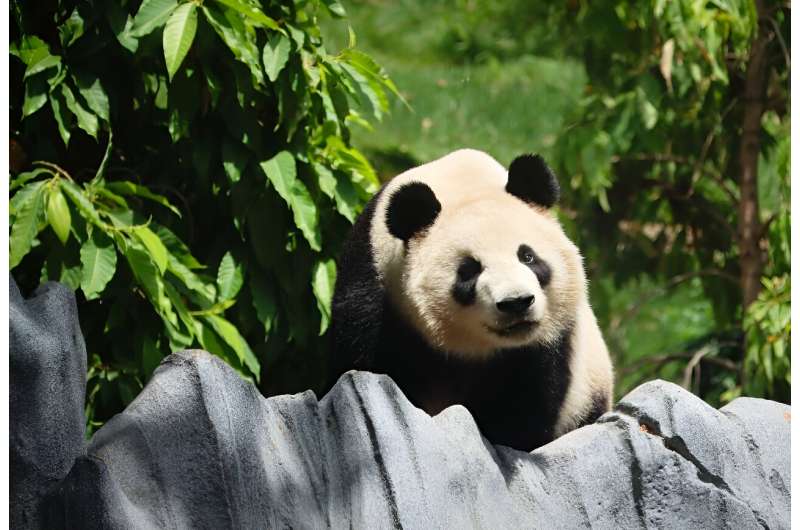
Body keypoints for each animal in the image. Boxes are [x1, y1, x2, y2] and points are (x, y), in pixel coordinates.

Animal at [328, 147, 616, 450]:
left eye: (527, 256)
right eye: (469, 270)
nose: (516, 302)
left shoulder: (551, 344)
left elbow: (524, 411)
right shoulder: (374, 284)